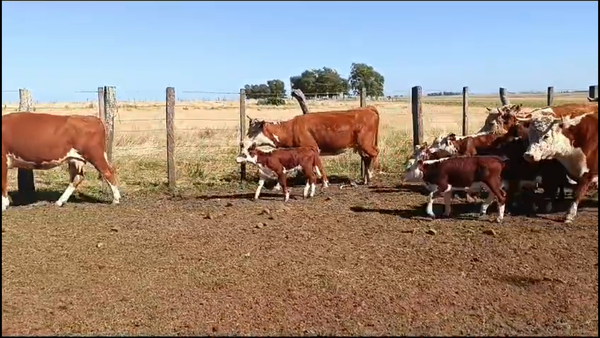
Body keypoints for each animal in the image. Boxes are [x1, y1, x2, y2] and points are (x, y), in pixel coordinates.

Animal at [240, 105, 378, 185]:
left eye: (253, 131)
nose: (242, 143)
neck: (291, 128)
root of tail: (367, 109)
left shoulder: (313, 148)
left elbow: (319, 166)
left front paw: (324, 182)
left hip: (365, 143)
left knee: (375, 153)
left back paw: (371, 174)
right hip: (360, 146)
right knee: (367, 158)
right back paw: (366, 179)